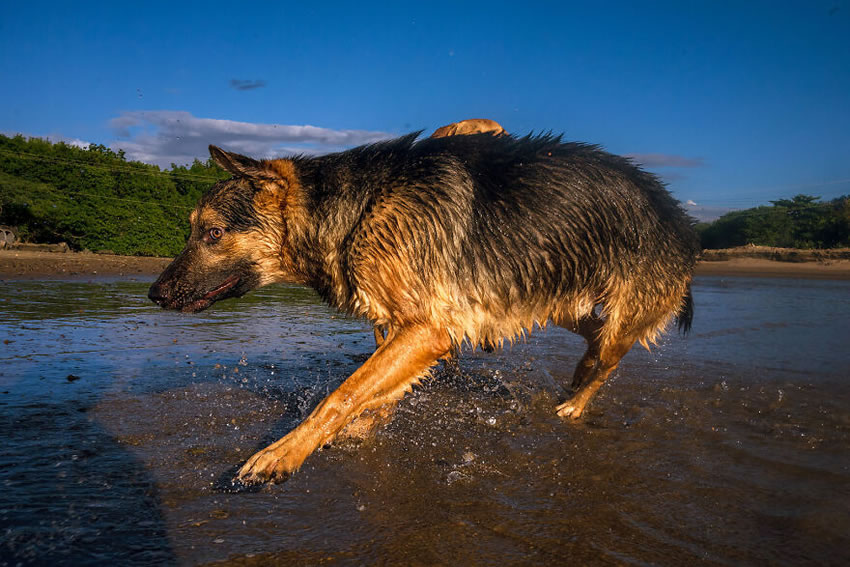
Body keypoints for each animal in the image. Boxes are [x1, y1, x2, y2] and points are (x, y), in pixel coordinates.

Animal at [149, 123, 700, 484]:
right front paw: (360, 426)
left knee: (609, 359)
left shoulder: (428, 330)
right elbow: (370, 390)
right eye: (195, 229)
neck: (355, 211)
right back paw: (577, 374)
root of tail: (680, 218)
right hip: (557, 301)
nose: (153, 294)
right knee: (593, 340)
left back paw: (574, 404)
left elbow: (341, 395)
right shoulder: (416, 331)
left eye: (212, 233)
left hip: (617, 315)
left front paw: (284, 453)